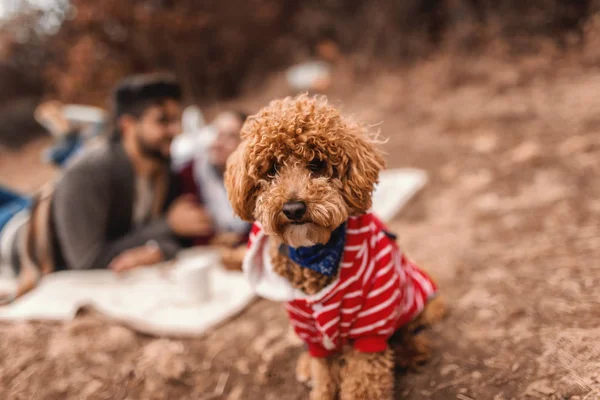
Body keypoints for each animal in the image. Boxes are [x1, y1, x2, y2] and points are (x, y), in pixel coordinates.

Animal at [225, 95, 446, 398]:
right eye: (271, 170)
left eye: (317, 164)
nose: (293, 208)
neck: (315, 255)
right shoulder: (311, 328)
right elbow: (324, 373)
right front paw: (318, 380)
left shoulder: (370, 321)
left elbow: (363, 382)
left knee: (408, 334)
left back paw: (410, 352)